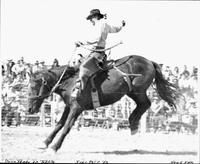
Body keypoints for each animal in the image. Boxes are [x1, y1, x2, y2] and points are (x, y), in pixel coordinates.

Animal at [27, 55, 178, 152]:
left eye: (34, 86)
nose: (29, 109)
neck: (70, 81)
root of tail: (149, 61)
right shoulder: (68, 106)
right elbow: (59, 124)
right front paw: (45, 142)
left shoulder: (77, 108)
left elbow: (66, 127)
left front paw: (54, 147)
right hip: (132, 92)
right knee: (144, 105)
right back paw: (133, 124)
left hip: (138, 91)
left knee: (146, 104)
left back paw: (133, 122)